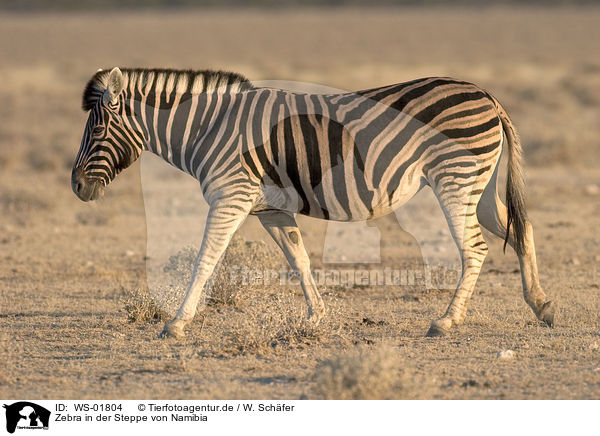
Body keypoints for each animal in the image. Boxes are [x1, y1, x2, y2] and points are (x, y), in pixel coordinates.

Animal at [72, 66, 556, 338]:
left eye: (97, 131)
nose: (77, 187)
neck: (209, 127)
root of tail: (486, 95)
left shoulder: (231, 195)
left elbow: (206, 259)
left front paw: (177, 323)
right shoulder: (270, 209)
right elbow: (299, 259)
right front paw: (316, 317)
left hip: (455, 178)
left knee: (475, 248)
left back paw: (446, 322)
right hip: (481, 185)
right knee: (522, 229)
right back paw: (542, 306)